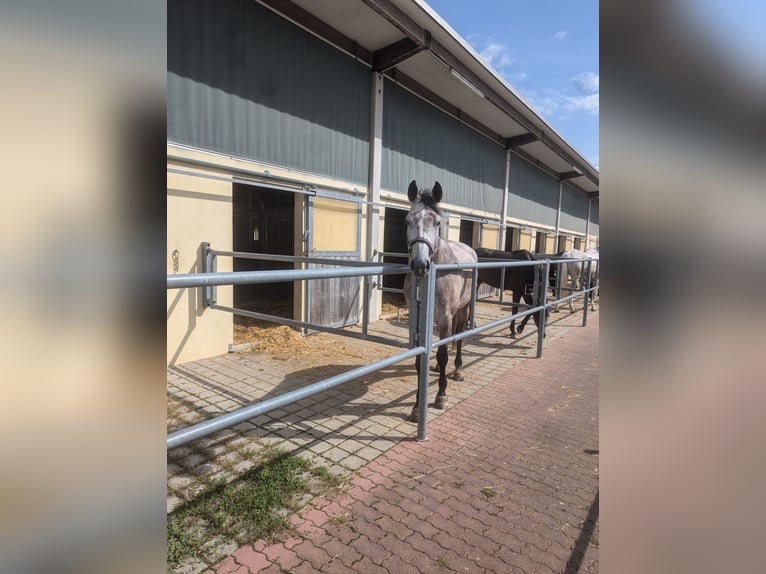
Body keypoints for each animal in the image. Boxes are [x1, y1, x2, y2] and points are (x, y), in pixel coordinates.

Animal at [404, 180, 476, 424]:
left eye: (436, 222)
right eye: (408, 220)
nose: (420, 264)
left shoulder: (445, 319)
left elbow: (444, 354)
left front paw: (441, 396)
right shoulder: (417, 321)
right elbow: (419, 361)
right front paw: (417, 406)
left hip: (463, 310)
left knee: (459, 338)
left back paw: (458, 371)